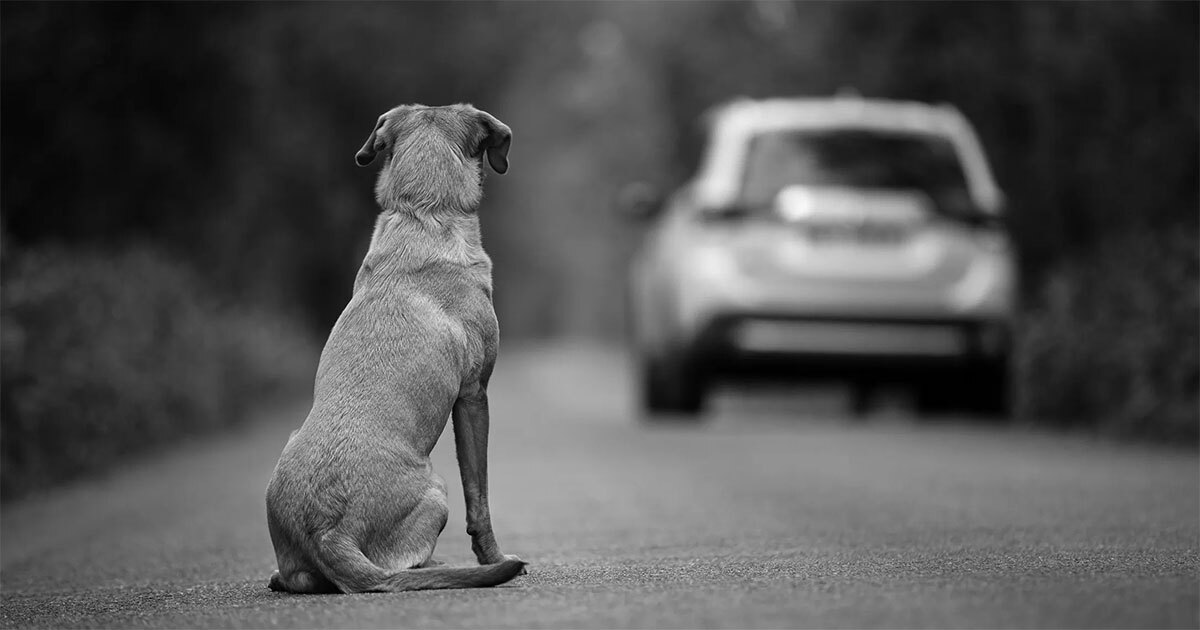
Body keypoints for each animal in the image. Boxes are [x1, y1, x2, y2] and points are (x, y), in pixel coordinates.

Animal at [265, 102, 523, 590]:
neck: (423, 211)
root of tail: (327, 530)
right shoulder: (473, 395)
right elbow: (479, 497)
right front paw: (493, 556)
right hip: (438, 491)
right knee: (406, 563)